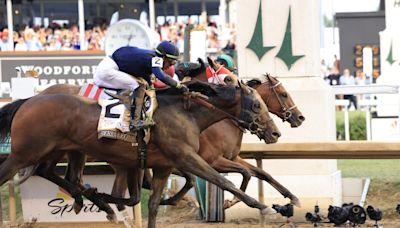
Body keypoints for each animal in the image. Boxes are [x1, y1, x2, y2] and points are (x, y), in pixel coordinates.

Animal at [0, 81, 282, 227]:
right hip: (25, 153)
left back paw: (90, 201)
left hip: (60, 150)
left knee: (50, 172)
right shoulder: (187, 157)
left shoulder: (163, 166)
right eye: (256, 105)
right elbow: (222, 180)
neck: (186, 113)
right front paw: (263, 207)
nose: (275, 133)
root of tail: (26, 101)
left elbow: (153, 204)